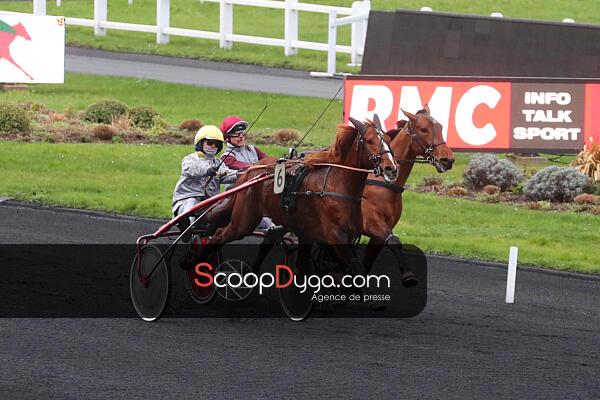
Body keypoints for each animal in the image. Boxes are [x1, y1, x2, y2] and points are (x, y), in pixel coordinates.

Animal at [361, 104, 455, 286]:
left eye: (440, 127)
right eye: (424, 129)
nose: (448, 159)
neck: (384, 181)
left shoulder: (378, 236)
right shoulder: (370, 223)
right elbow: (395, 241)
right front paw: (408, 275)